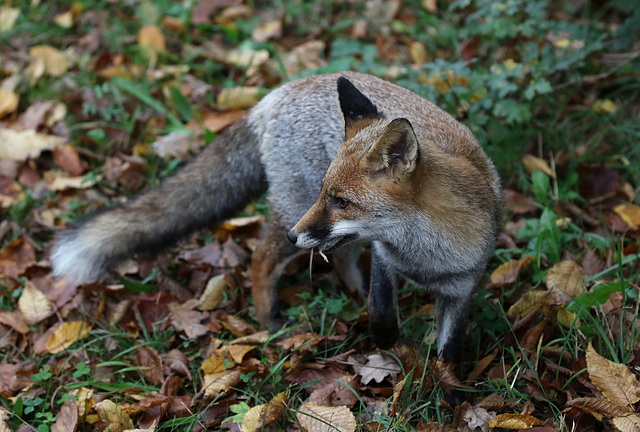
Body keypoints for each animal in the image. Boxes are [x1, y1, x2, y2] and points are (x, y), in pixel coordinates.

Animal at [52, 71, 502, 364]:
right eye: (328, 193)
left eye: (342, 201)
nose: (293, 236)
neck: (424, 258)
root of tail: (277, 93)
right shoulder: (383, 258)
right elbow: (381, 314)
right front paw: (389, 344)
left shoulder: (462, 288)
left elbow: (449, 353)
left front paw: (448, 397)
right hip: (293, 209)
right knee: (261, 258)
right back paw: (270, 321)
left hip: (323, 228)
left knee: (339, 257)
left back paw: (346, 293)